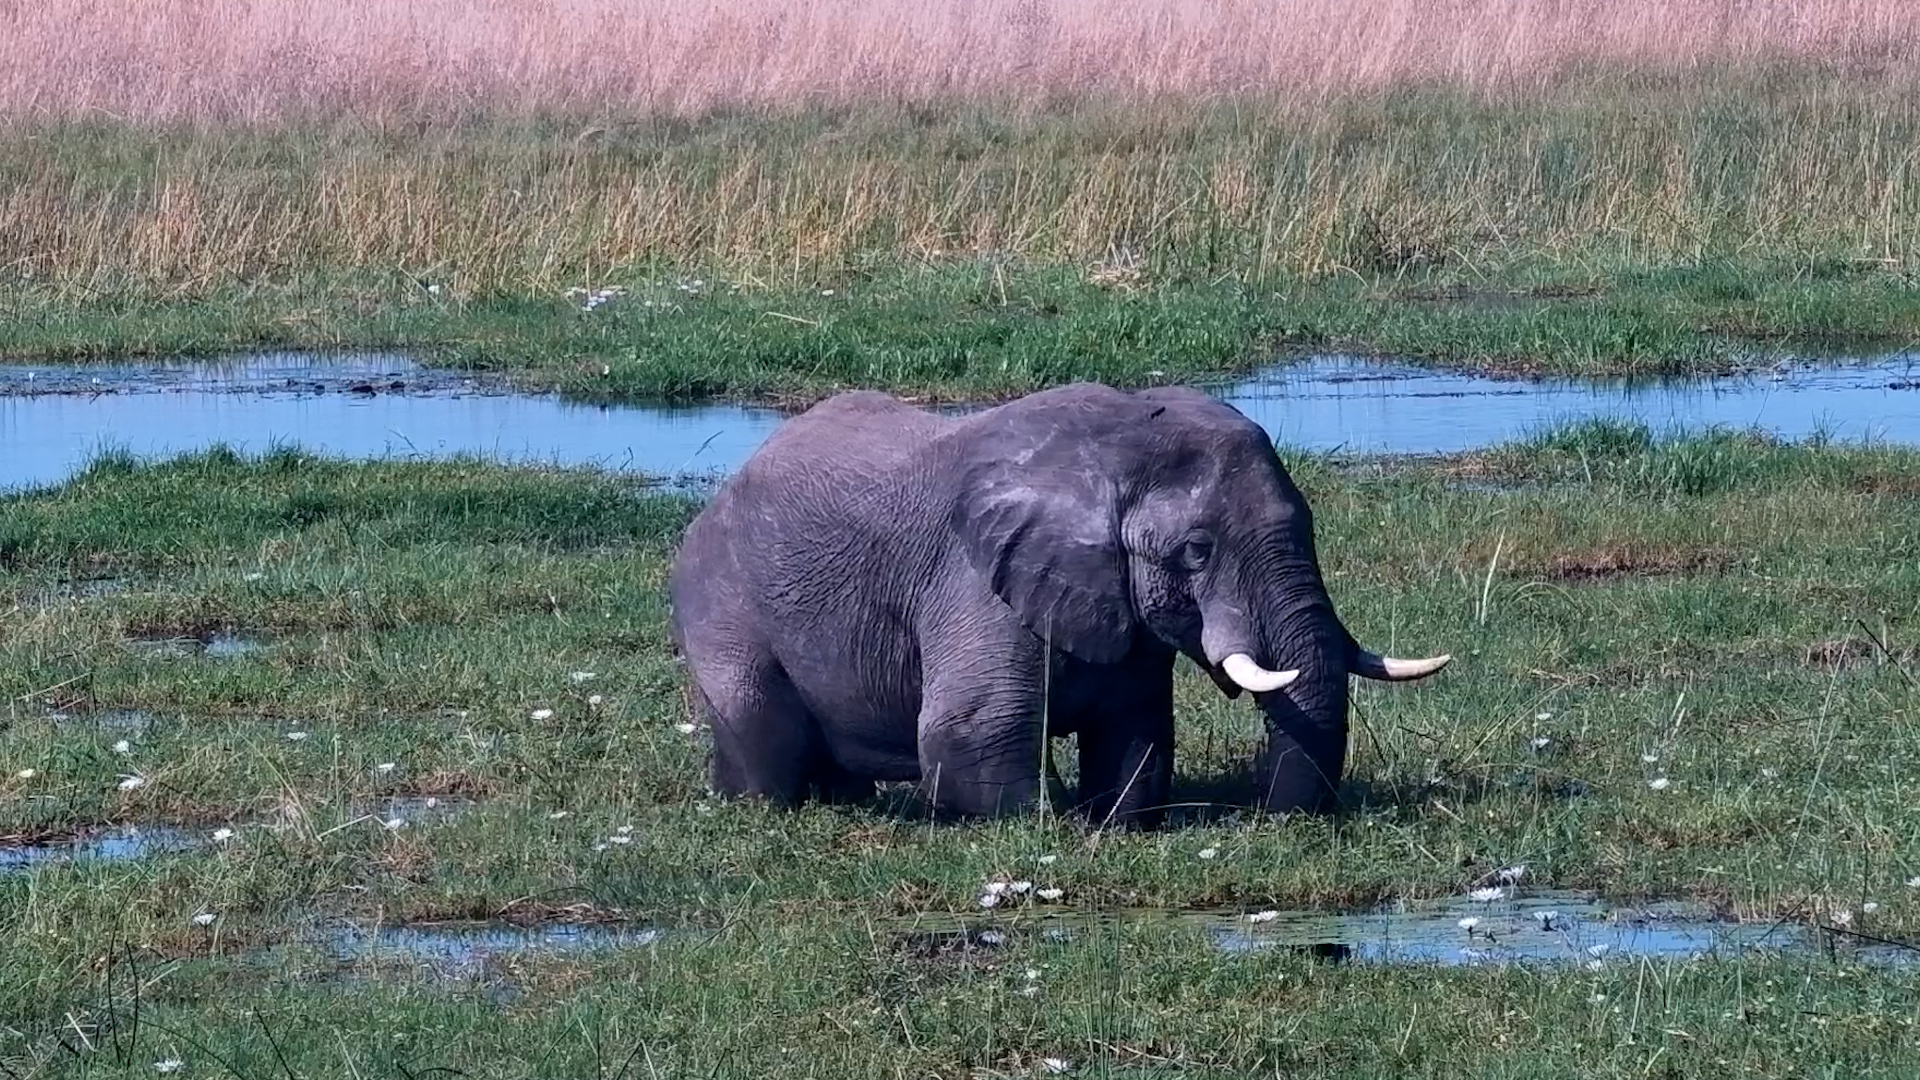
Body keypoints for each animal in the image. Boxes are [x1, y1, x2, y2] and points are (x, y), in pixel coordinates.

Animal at [666, 382, 1449, 826]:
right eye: (1196, 551)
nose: (1277, 822)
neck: (1113, 451)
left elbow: (1136, 733)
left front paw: (1112, 823)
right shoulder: (973, 579)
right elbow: (968, 734)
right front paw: (1060, 826)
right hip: (719, 600)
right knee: (759, 725)